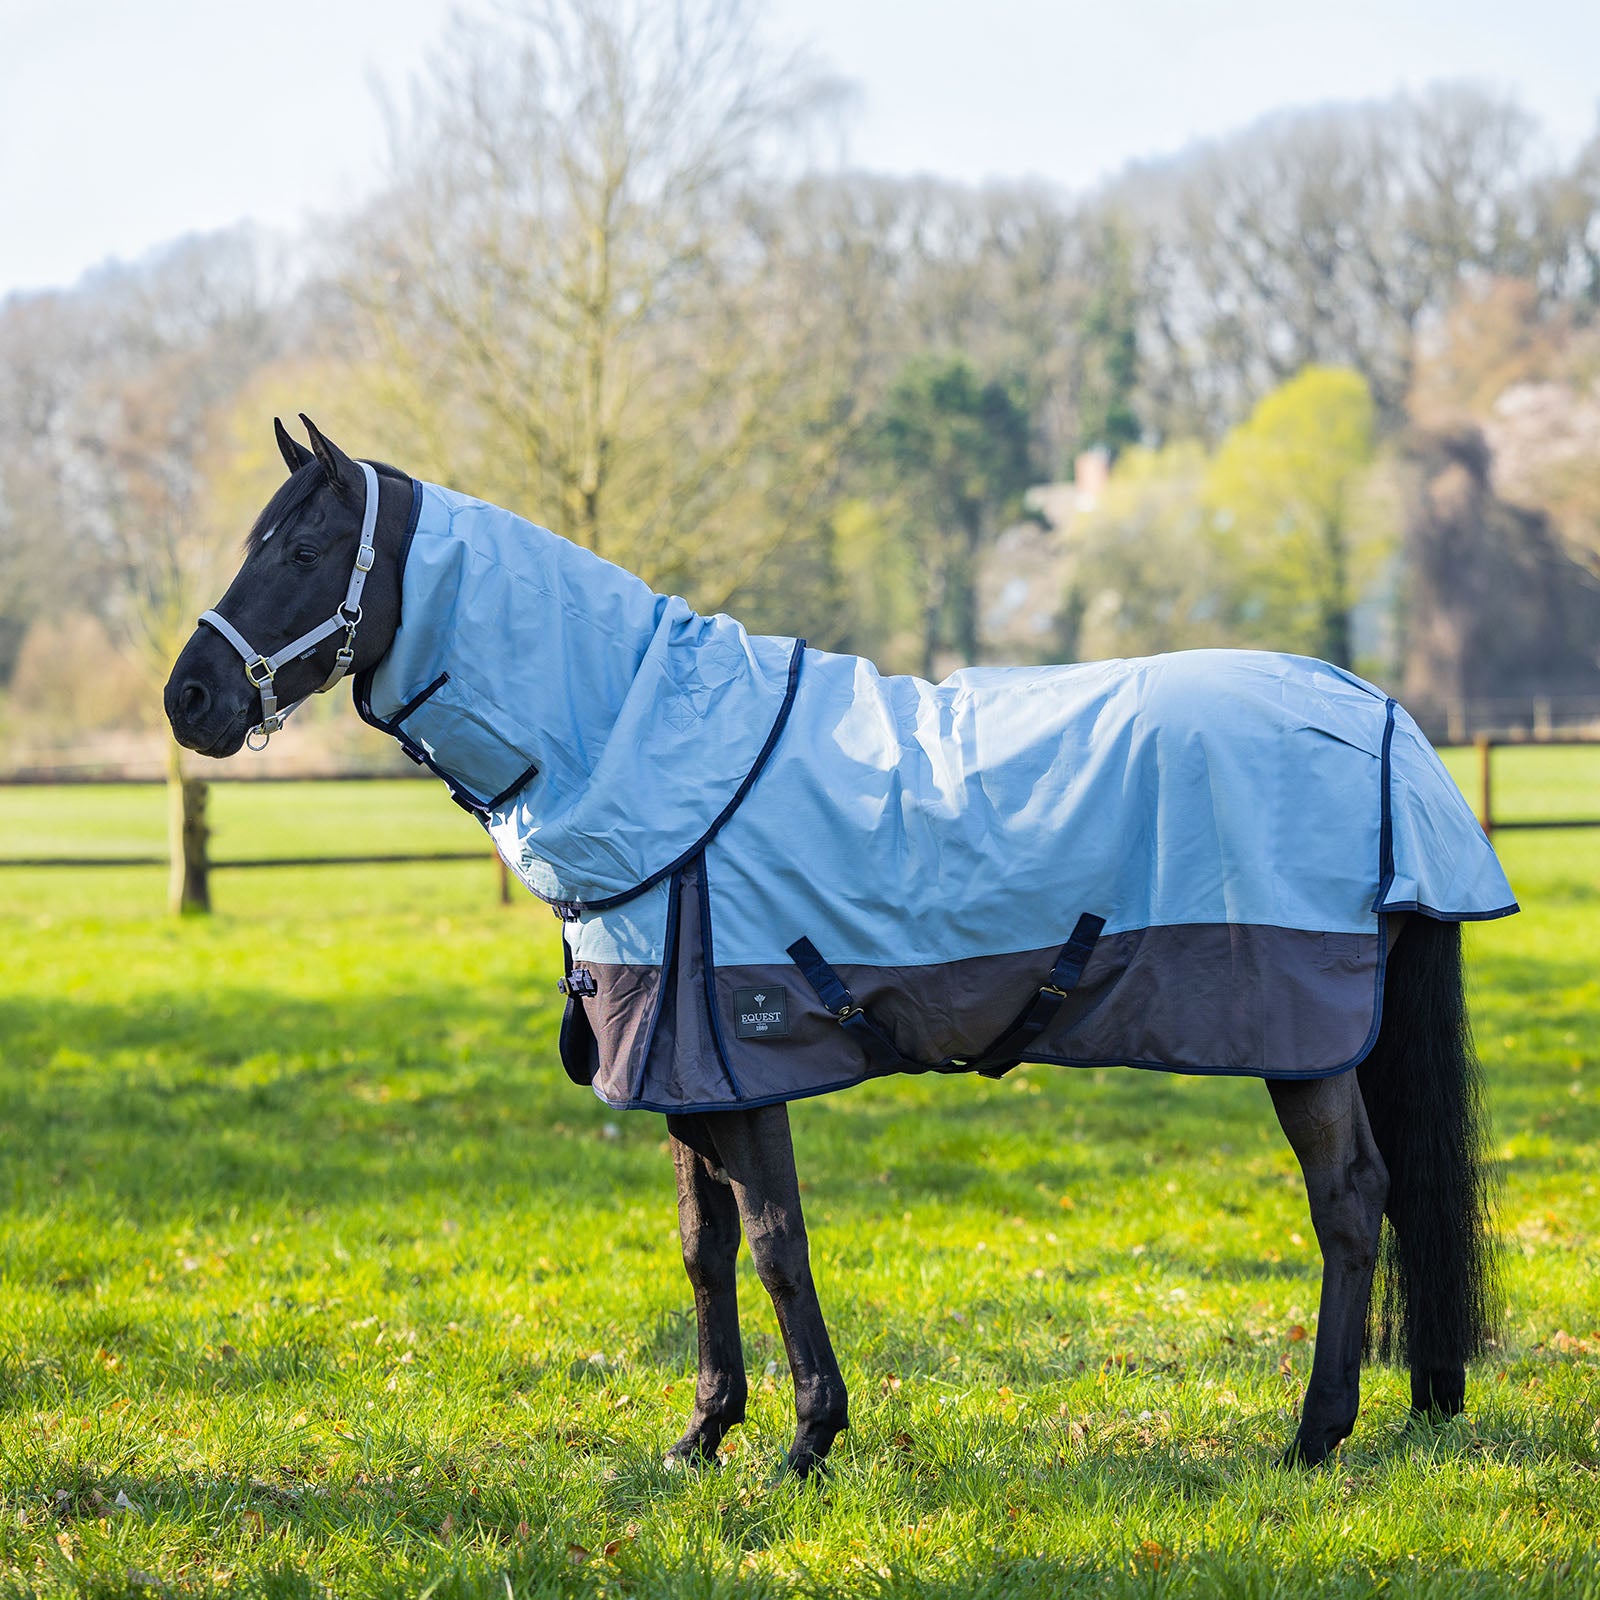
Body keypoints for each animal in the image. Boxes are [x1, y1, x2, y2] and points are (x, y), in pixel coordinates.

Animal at [165, 416, 1509, 1478]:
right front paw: (704, 1432)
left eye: (300, 550)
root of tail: (1381, 715)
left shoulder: (741, 1057)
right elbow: (703, 1252)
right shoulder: (678, 1070)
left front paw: (809, 1437)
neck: (635, 736)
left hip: (1302, 1045)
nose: (189, 700)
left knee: (1350, 1201)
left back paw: (1314, 1432)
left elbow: (774, 1244)